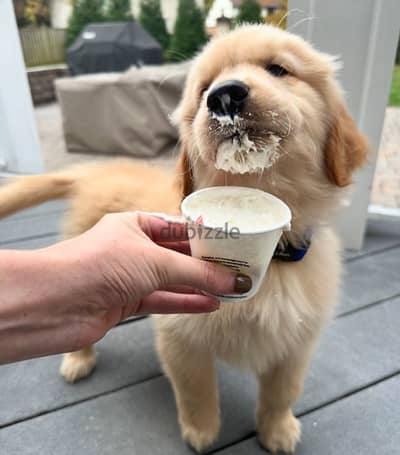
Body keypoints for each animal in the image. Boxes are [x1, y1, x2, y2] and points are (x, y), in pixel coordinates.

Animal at [0, 25, 368, 455]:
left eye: (278, 69)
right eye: (204, 88)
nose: (224, 95)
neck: (274, 255)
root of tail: (97, 170)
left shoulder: (298, 340)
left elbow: (283, 389)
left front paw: (277, 430)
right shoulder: (180, 336)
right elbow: (196, 388)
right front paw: (201, 431)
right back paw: (77, 360)